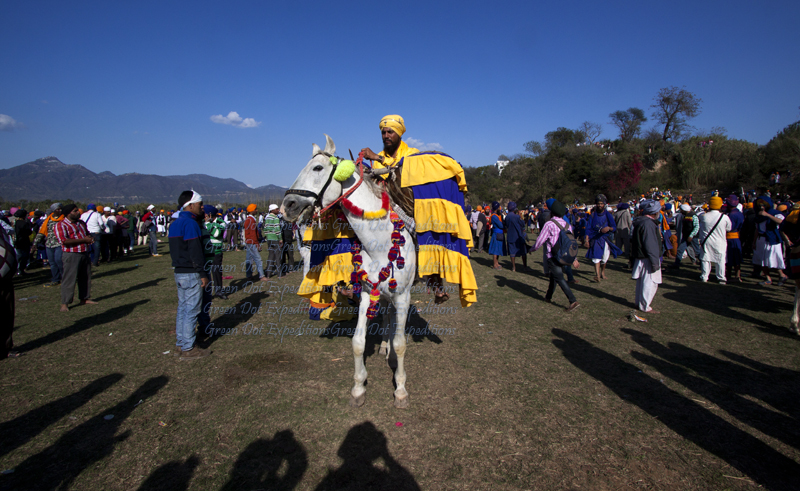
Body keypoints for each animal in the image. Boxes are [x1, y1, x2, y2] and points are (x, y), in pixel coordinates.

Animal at [282, 136, 418, 410]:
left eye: (318, 168)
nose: (287, 205)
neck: (379, 245)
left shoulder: (402, 297)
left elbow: (401, 344)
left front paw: (400, 390)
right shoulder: (367, 294)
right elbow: (357, 343)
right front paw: (358, 388)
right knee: (386, 317)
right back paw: (384, 347)